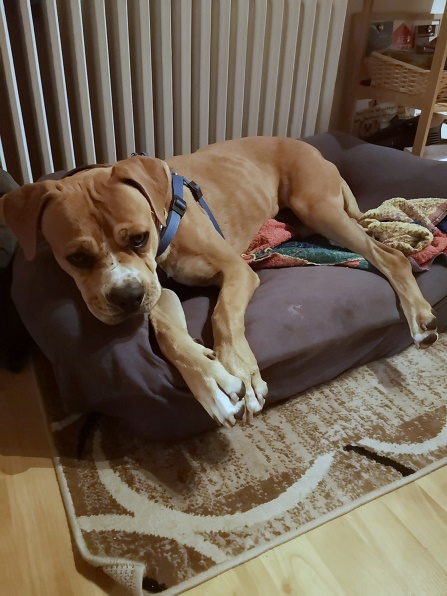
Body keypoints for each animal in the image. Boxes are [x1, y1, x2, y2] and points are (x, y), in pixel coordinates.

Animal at [0, 137, 438, 426]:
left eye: (139, 238)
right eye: (76, 258)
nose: (127, 297)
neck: (164, 222)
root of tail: (316, 149)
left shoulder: (236, 270)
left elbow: (224, 314)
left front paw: (240, 369)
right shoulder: (159, 294)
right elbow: (169, 336)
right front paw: (211, 381)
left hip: (318, 208)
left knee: (390, 257)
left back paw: (420, 318)